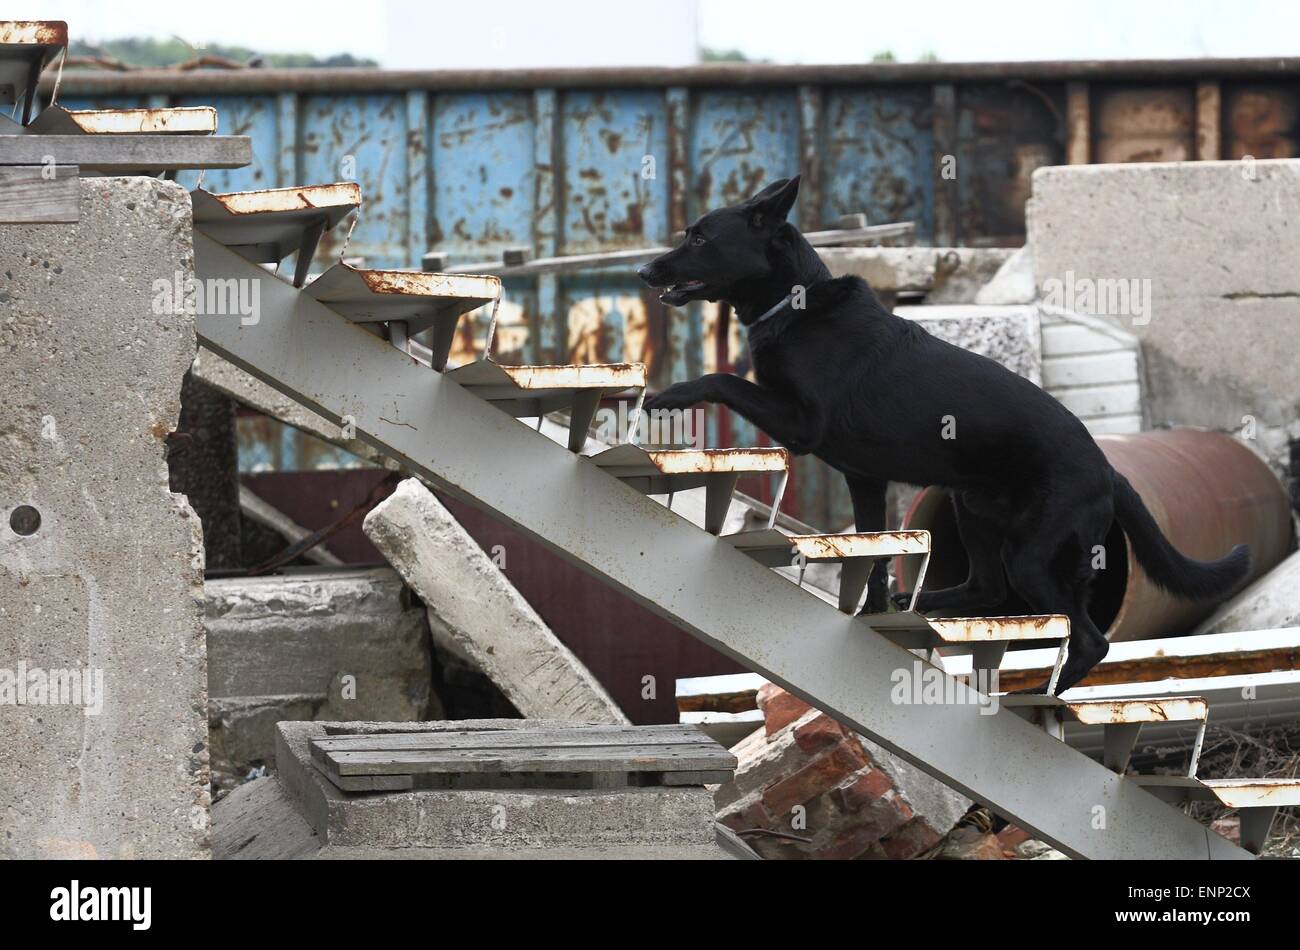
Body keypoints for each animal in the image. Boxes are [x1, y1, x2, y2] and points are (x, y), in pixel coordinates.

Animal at [637, 178, 1248, 696]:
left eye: (699, 237)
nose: (643, 270)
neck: (796, 301)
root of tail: (1109, 469)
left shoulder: (801, 423)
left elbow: (723, 378)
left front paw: (670, 395)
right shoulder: (865, 479)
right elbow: (874, 554)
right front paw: (872, 614)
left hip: (1032, 551)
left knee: (1089, 638)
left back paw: (1045, 695)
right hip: (971, 507)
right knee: (988, 588)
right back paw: (924, 601)